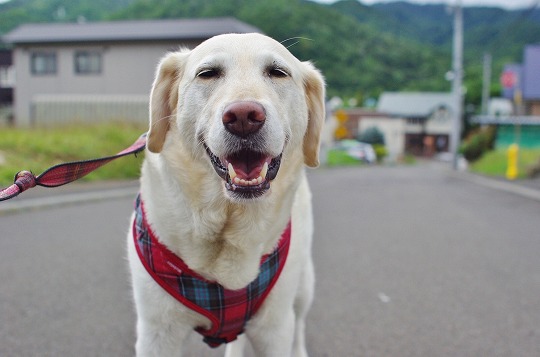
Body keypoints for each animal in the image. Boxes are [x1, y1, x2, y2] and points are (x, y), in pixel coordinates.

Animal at [127, 32, 324, 354]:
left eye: (278, 72)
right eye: (208, 73)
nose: (244, 116)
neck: (226, 219)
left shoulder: (274, 329)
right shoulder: (157, 332)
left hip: (303, 286)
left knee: (300, 325)